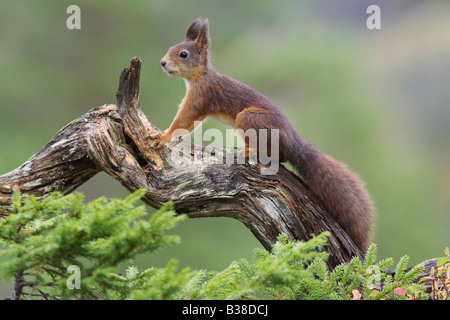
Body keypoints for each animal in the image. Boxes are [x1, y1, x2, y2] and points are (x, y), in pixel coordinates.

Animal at [151, 18, 376, 251]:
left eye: (183, 54)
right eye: (170, 48)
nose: (162, 63)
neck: (199, 76)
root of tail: (294, 144)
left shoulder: (202, 95)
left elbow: (184, 120)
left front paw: (163, 137)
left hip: (249, 119)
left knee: (277, 154)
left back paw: (250, 150)